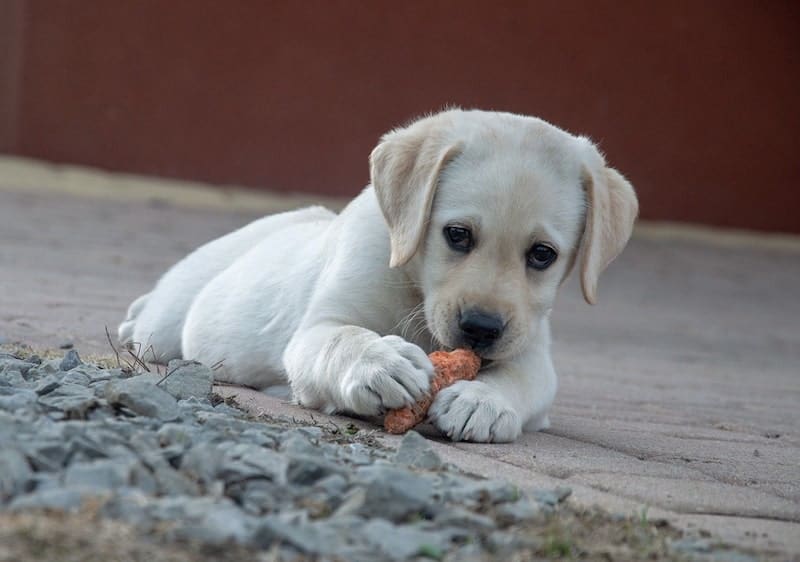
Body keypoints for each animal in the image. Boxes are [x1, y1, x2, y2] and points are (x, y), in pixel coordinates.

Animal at [117, 108, 636, 442]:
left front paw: (483, 401)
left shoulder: (531, 350)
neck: (415, 288)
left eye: (543, 255)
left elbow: (521, 379)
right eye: (457, 235)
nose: (481, 328)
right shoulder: (316, 329)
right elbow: (342, 338)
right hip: (168, 322)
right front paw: (380, 363)